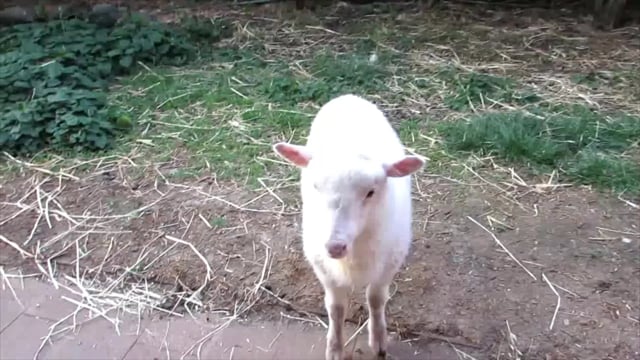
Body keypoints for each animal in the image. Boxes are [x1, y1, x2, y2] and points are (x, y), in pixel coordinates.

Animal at [272, 94, 424, 358]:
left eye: (371, 192)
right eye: (315, 186)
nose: (334, 246)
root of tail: (348, 97)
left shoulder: (390, 263)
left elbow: (376, 299)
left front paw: (379, 340)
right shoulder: (323, 266)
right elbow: (336, 308)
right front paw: (334, 348)